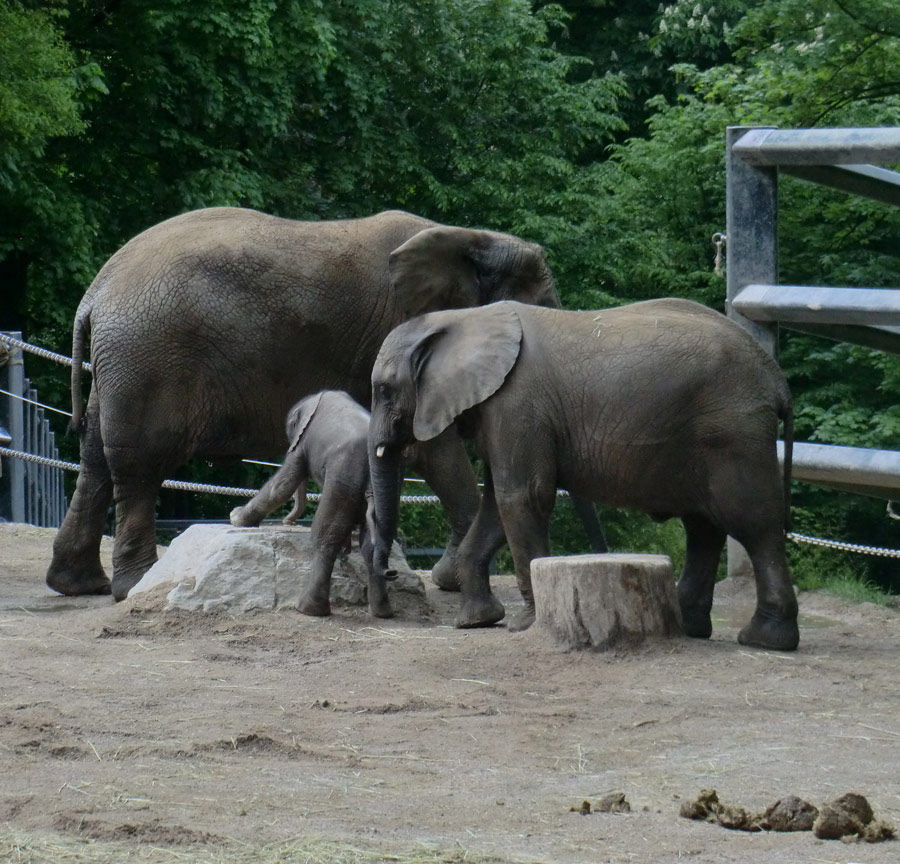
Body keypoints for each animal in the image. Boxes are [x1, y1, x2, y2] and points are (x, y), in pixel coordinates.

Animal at [227, 388, 392, 616]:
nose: (288, 522)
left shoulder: (303, 441)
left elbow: (283, 485)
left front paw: (235, 516)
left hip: (345, 473)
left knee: (324, 538)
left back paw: (308, 609)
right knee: (372, 545)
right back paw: (381, 612)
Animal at [370, 300, 800, 652]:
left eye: (384, 390)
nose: (389, 571)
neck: (461, 318)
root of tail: (778, 381)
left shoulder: (516, 403)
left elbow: (521, 498)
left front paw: (524, 625)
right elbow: (496, 506)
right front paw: (476, 622)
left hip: (734, 433)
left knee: (753, 524)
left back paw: (765, 640)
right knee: (704, 527)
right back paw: (691, 626)